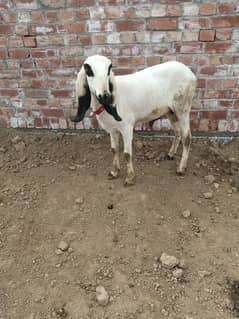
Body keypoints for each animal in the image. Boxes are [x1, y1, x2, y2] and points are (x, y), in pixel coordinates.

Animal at [70, 54, 196, 185]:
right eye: (88, 70)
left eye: (109, 69)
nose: (105, 96)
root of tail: (189, 72)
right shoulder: (112, 130)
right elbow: (114, 149)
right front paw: (114, 172)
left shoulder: (127, 127)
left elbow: (127, 154)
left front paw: (130, 178)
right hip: (170, 111)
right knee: (177, 132)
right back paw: (171, 154)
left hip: (183, 108)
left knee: (187, 138)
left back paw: (181, 168)